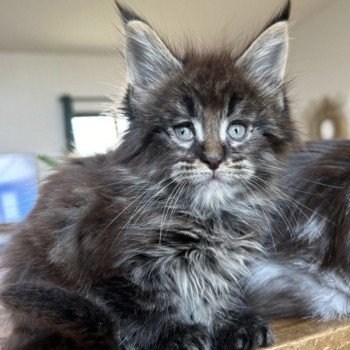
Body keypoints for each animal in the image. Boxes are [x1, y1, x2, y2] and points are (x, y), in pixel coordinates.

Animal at [0, 0, 296, 350]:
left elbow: (220, 291)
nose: (213, 160)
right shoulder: (111, 267)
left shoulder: (230, 262)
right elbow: (143, 305)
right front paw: (175, 334)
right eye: (183, 131)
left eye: (237, 129)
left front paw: (235, 321)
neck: (207, 216)